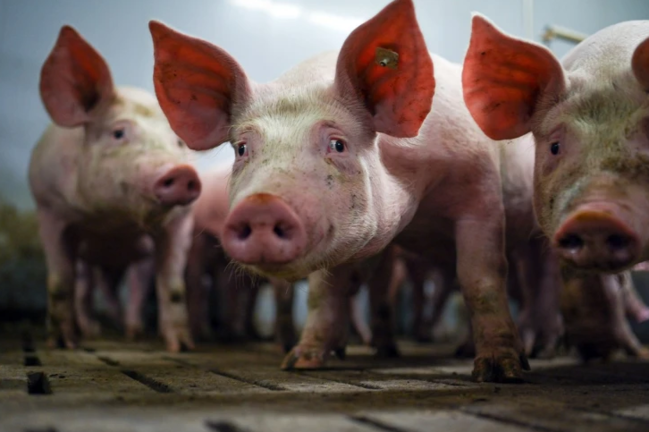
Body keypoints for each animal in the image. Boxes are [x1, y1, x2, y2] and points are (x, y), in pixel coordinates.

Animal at [29, 25, 200, 352]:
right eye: (118, 133)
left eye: (178, 142)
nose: (182, 171)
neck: (112, 222)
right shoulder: (49, 208)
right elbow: (59, 281)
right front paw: (60, 344)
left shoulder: (181, 222)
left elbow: (173, 286)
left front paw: (184, 347)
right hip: (87, 262)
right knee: (83, 288)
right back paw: (90, 332)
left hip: (137, 259)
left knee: (131, 288)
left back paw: (133, 332)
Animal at [149, 1, 528, 384]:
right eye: (241, 149)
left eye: (338, 144)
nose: (261, 206)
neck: (420, 200)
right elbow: (324, 291)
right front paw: (299, 362)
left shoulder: (480, 190)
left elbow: (480, 277)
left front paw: (499, 372)